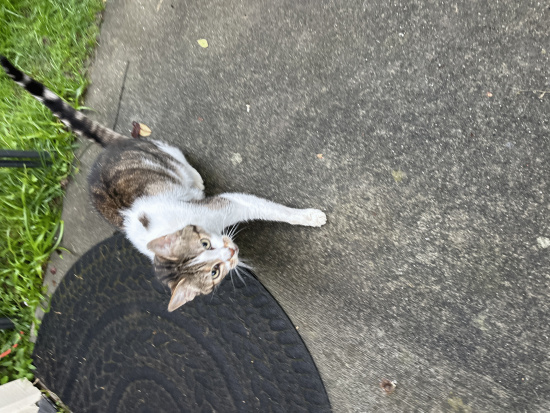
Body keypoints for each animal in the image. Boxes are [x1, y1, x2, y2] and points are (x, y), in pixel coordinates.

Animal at [1, 56, 327, 311]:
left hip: (166, 153)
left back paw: (195, 178)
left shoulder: (229, 202)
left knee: (181, 161)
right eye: (215, 272)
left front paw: (309, 217)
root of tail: (111, 148)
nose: (231, 252)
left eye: (206, 245)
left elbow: (273, 209)